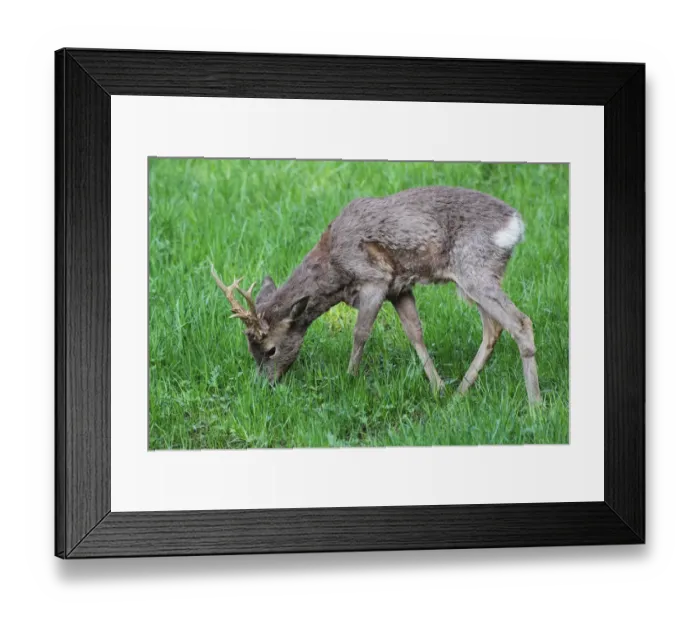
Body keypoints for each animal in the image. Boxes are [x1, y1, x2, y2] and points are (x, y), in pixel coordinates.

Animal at [211, 186, 541, 404]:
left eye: (270, 350)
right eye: (250, 350)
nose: (264, 386)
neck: (334, 267)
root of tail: (516, 224)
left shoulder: (375, 281)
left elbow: (360, 333)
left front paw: (349, 380)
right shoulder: (400, 287)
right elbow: (415, 333)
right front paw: (438, 388)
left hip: (476, 269)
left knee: (520, 322)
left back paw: (535, 406)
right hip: (474, 279)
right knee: (493, 328)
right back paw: (460, 393)